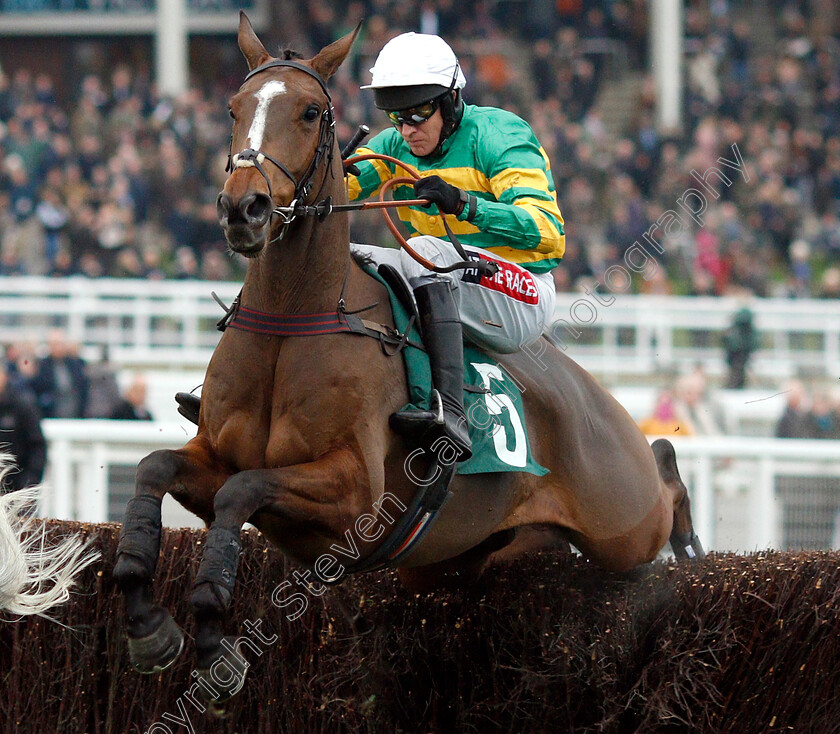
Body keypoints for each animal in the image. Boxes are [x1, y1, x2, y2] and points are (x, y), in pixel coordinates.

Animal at [111, 12, 704, 708]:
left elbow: (243, 489)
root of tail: (596, 396)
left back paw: (691, 544)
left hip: (619, 517)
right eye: (233, 107)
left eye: (310, 111)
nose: (244, 208)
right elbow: (155, 468)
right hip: (462, 556)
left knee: (662, 486)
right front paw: (147, 623)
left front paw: (209, 632)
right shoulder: (213, 457)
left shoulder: (355, 500)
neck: (293, 322)